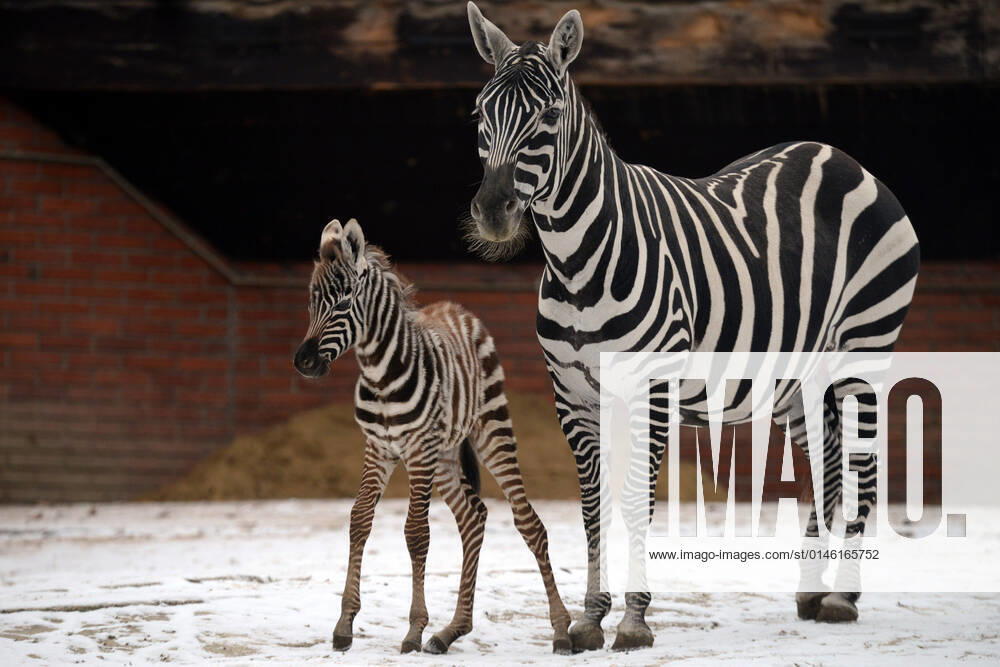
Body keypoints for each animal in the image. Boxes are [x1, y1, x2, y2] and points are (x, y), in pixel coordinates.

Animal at [293, 218, 572, 654]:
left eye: (342, 302)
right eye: (312, 301)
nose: (303, 362)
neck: (380, 373)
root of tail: (457, 308)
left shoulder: (418, 449)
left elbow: (416, 533)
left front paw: (413, 629)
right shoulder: (378, 449)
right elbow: (359, 520)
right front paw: (345, 625)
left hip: (490, 430)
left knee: (530, 524)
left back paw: (560, 629)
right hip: (443, 456)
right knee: (473, 517)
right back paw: (452, 630)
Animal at [465, 2, 920, 651]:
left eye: (549, 115)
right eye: (480, 113)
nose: (493, 214)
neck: (578, 261)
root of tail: (840, 157)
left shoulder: (650, 388)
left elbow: (636, 500)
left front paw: (632, 621)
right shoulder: (573, 395)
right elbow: (591, 505)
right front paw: (589, 618)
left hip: (866, 345)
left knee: (864, 461)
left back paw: (843, 598)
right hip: (795, 376)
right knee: (827, 462)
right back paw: (811, 592)